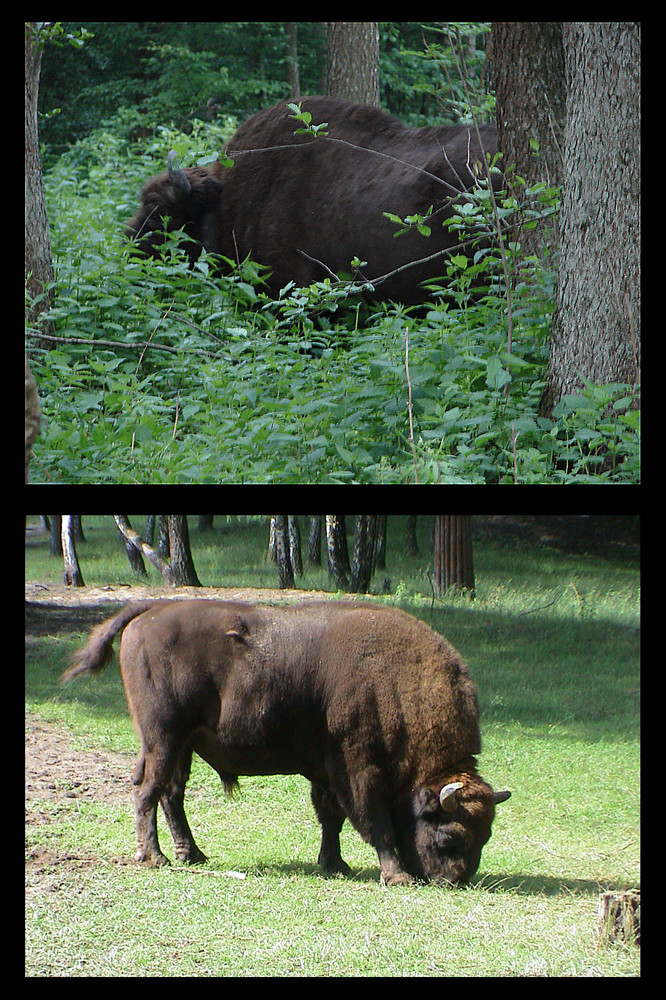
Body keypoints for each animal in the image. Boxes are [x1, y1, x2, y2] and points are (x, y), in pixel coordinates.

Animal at [62, 596, 508, 888]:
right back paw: (153, 858)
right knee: (147, 791)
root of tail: (150, 610)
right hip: (163, 737)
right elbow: (373, 821)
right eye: (450, 836)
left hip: (183, 744)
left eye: (486, 835)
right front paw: (394, 875)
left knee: (172, 793)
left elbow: (331, 816)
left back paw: (193, 854)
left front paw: (335, 865)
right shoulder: (358, 770)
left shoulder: (325, 771)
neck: (397, 687)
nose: (455, 881)